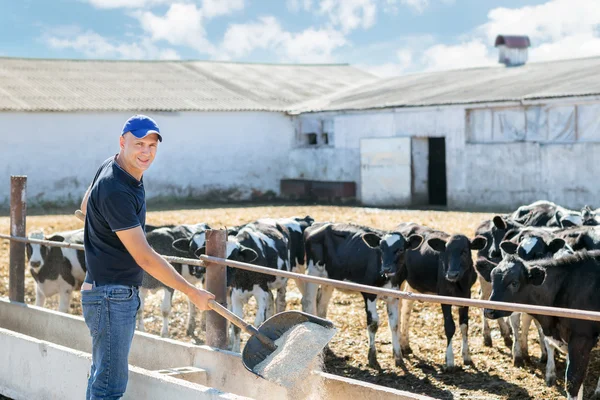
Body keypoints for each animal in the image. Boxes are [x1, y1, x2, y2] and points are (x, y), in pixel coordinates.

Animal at [300, 222, 422, 368]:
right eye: (381, 248)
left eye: (400, 250)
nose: (386, 268)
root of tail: (317, 224)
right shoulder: (369, 293)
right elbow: (373, 323)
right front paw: (372, 358)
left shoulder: (394, 296)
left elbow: (394, 324)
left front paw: (398, 358)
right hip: (313, 273)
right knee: (308, 303)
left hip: (328, 279)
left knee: (321, 307)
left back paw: (325, 345)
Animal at [384, 222, 488, 368]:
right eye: (446, 252)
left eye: (464, 251)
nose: (452, 274)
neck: (459, 283)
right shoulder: (444, 295)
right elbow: (449, 327)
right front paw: (449, 360)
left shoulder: (466, 296)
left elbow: (464, 325)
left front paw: (467, 356)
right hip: (396, 279)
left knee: (406, 308)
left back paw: (405, 345)